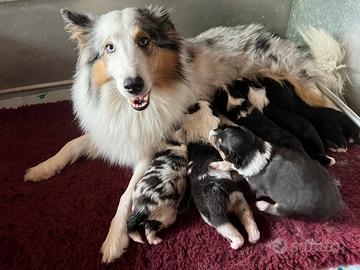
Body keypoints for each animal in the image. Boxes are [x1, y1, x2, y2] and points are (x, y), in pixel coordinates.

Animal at [176, 100, 258, 249]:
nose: (199, 101)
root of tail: (219, 188)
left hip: (216, 218)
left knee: (236, 236)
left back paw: (234, 245)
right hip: (240, 200)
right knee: (249, 218)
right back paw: (254, 236)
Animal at [210, 125, 344, 220]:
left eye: (219, 144)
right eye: (224, 129)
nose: (211, 130)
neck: (253, 151)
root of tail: (335, 205)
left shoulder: (256, 187)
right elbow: (231, 166)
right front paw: (216, 165)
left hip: (289, 205)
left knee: (276, 210)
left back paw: (261, 205)